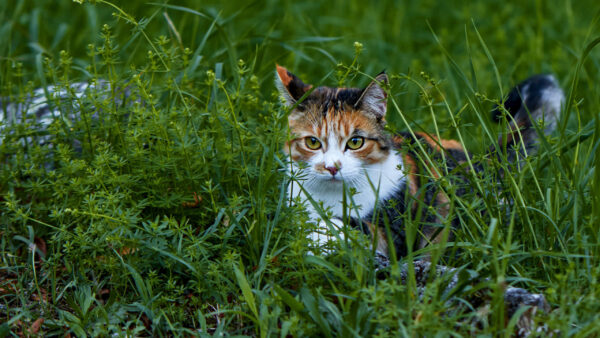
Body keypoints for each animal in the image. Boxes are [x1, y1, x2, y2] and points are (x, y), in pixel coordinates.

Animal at [276, 65, 564, 258]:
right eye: (313, 143)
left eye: (355, 142)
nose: (332, 167)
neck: (331, 196)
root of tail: (483, 162)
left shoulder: (395, 232)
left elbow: (349, 227)